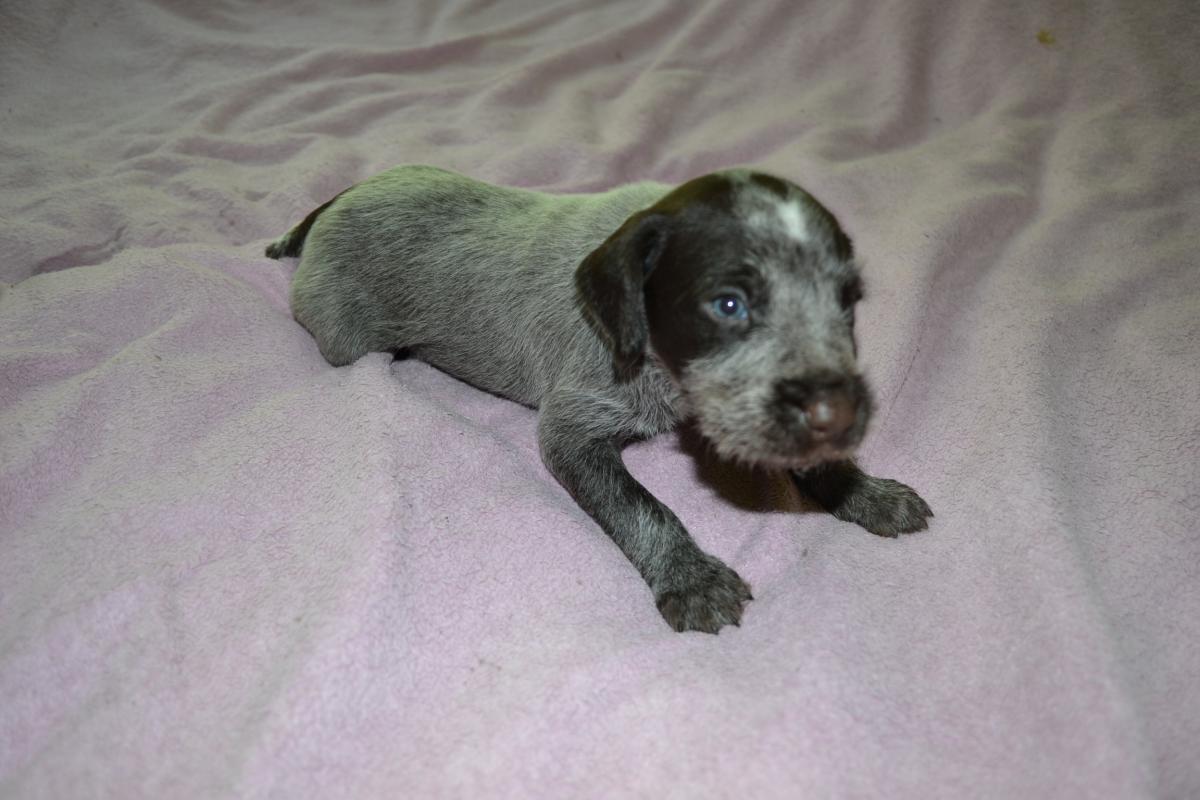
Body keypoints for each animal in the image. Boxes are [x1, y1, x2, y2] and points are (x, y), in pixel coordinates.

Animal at [266, 165, 932, 634]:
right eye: (729, 305)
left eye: (847, 302)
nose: (840, 417)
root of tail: (341, 201)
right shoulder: (573, 427)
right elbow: (644, 507)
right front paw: (691, 578)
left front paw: (862, 489)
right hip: (345, 335)